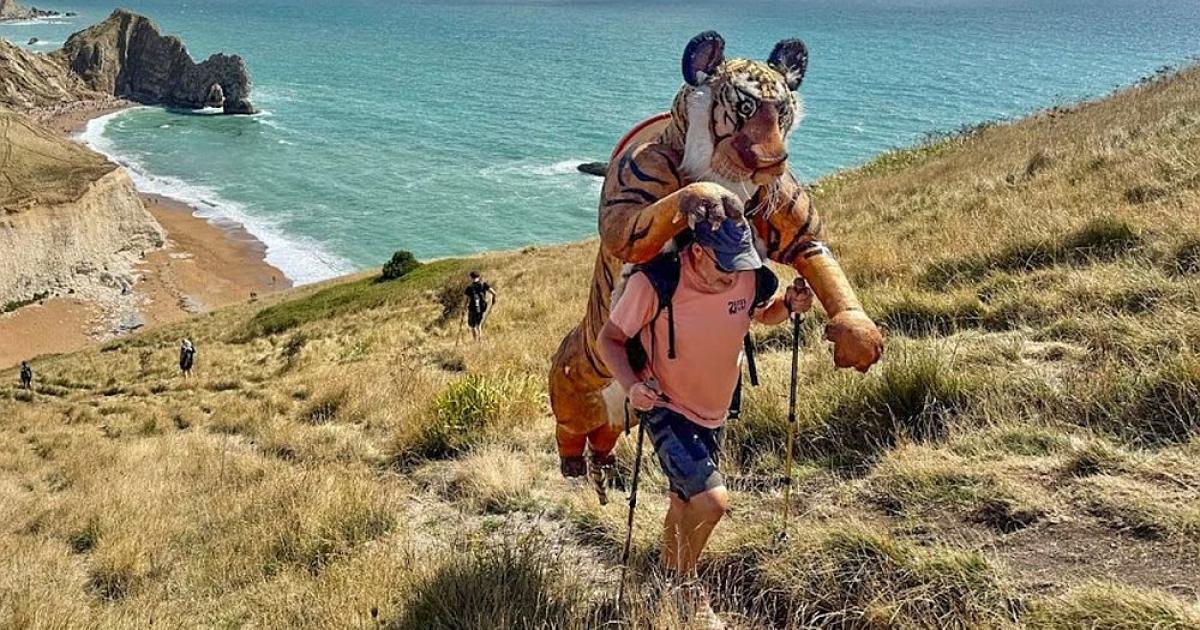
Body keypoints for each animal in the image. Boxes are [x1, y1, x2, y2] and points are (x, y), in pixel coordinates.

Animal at [549, 31, 884, 484]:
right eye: (745, 107)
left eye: (782, 110)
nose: (775, 160)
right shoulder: (627, 204)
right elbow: (648, 219)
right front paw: (710, 197)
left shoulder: (798, 225)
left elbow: (820, 260)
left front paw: (857, 336)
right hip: (576, 386)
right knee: (568, 429)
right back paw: (570, 463)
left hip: (621, 417)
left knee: (603, 438)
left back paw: (600, 464)